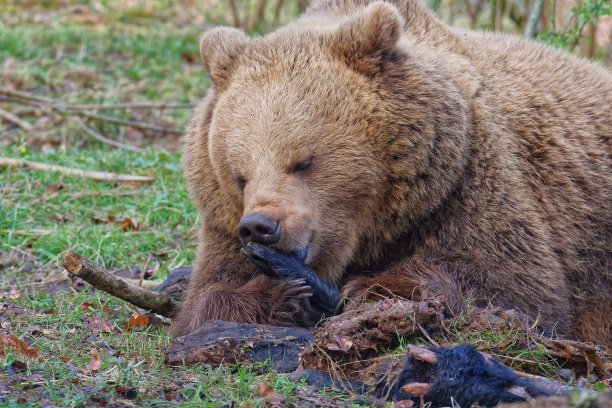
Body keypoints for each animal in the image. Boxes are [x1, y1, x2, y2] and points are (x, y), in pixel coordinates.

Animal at [173, 0, 612, 348]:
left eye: (302, 161)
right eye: (239, 174)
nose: (261, 226)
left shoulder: (465, 181)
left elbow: (512, 282)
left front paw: (356, 288)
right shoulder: (222, 223)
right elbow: (205, 300)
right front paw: (282, 293)